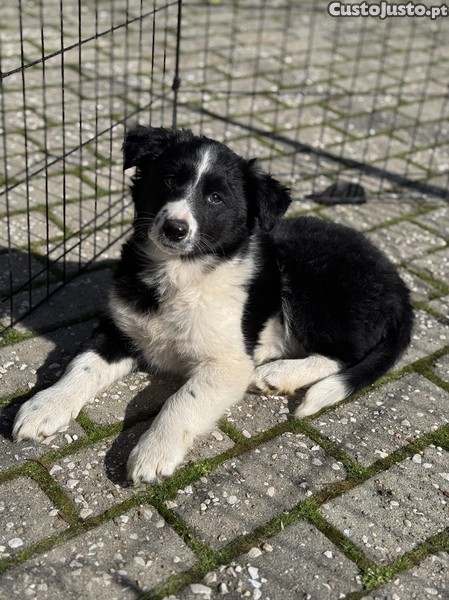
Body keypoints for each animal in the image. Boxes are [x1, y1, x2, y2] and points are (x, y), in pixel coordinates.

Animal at [13, 125, 414, 483]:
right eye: (170, 180)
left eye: (216, 199)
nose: (174, 229)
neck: (180, 273)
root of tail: (399, 285)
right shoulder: (119, 328)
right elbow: (81, 365)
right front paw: (45, 405)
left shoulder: (228, 363)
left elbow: (183, 399)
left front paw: (154, 450)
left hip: (307, 283)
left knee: (344, 355)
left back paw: (277, 374)